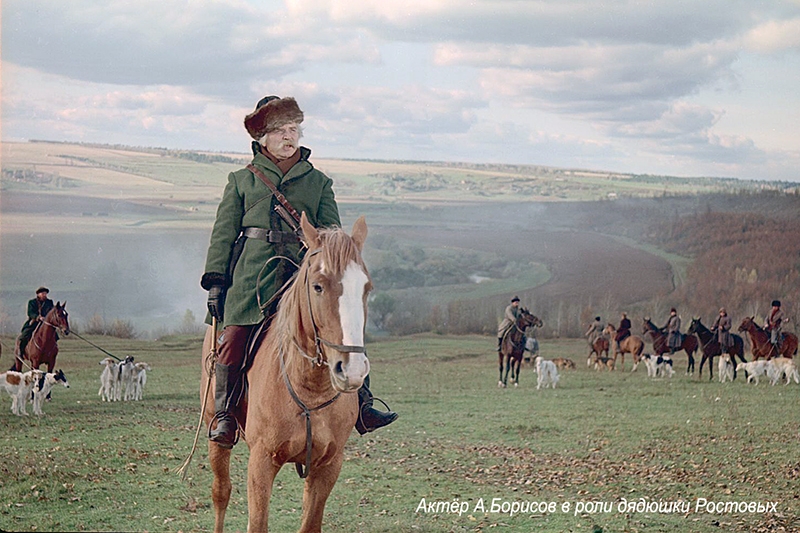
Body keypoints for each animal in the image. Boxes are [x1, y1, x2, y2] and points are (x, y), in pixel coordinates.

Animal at [203, 213, 372, 532]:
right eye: (318, 286)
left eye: (366, 288)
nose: (352, 370)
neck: (310, 388)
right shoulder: (261, 462)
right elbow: (257, 523)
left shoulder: (328, 465)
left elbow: (310, 523)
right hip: (214, 430)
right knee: (221, 492)